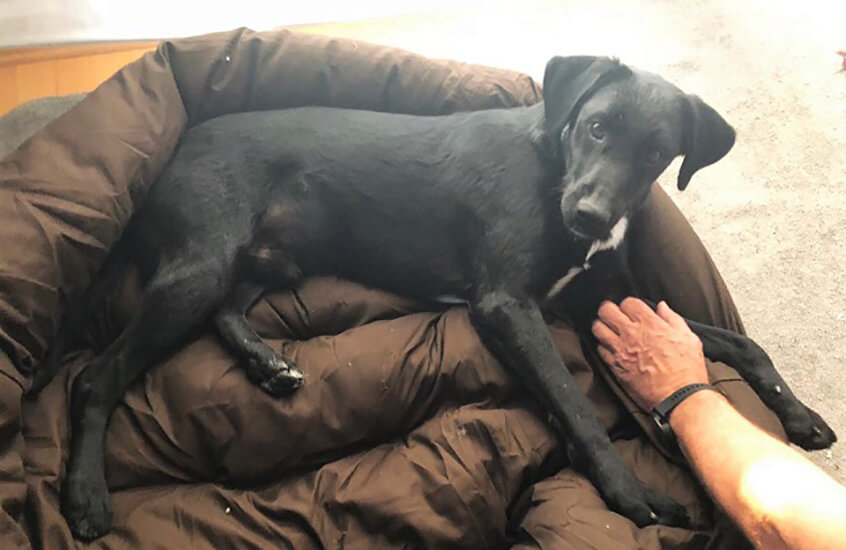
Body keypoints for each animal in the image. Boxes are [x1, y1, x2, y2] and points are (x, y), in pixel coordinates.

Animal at [32, 56, 836, 540]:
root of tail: (164, 161)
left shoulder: (600, 305)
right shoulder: (509, 306)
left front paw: (798, 414)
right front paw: (625, 490)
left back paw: (269, 365)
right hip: (200, 263)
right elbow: (574, 403)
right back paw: (87, 496)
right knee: (95, 377)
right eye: (596, 127)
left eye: (656, 153)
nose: (588, 217)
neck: (551, 166)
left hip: (272, 261)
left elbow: (740, 344)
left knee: (226, 312)